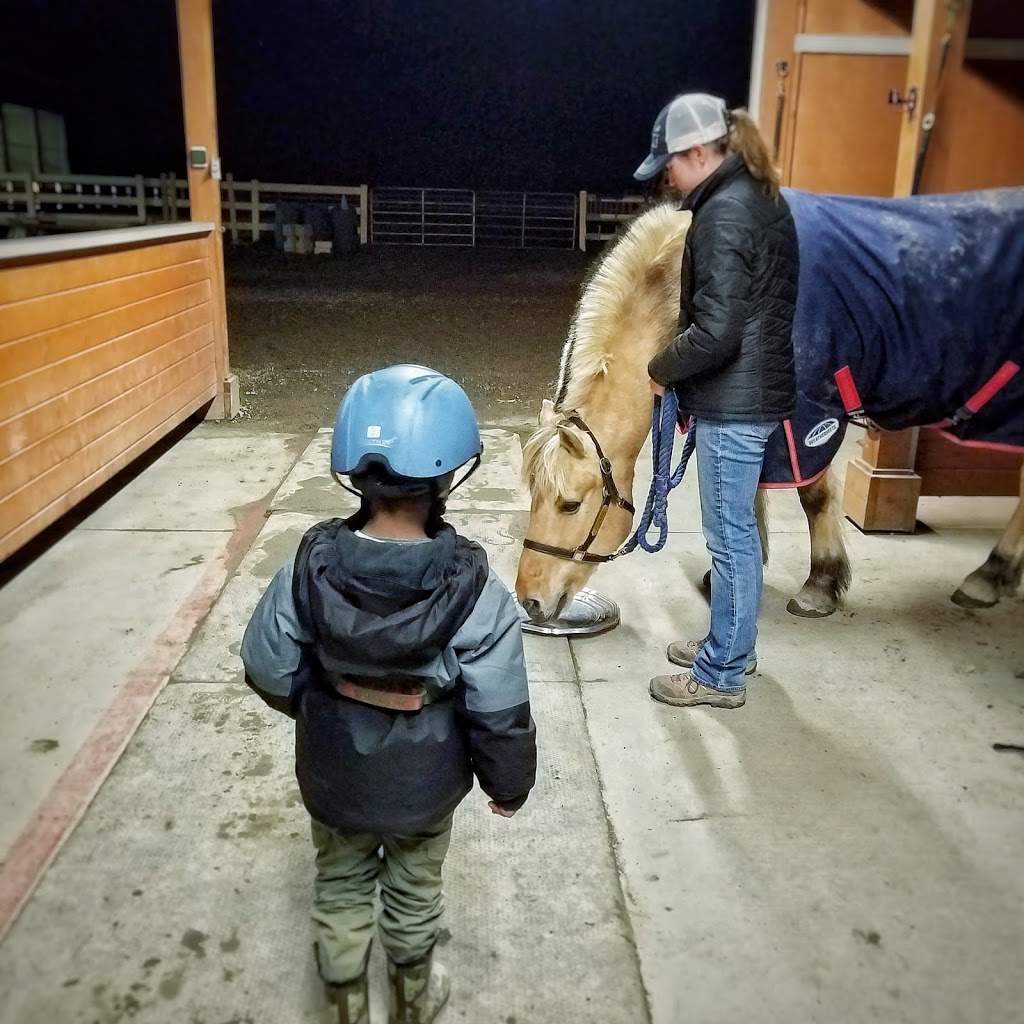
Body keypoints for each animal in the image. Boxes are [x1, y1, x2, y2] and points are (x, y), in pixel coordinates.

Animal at [516, 192, 1024, 622]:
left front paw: (820, 584)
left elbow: (812, 495)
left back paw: (988, 576)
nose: (530, 601)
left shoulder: (807, 419)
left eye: (569, 504)